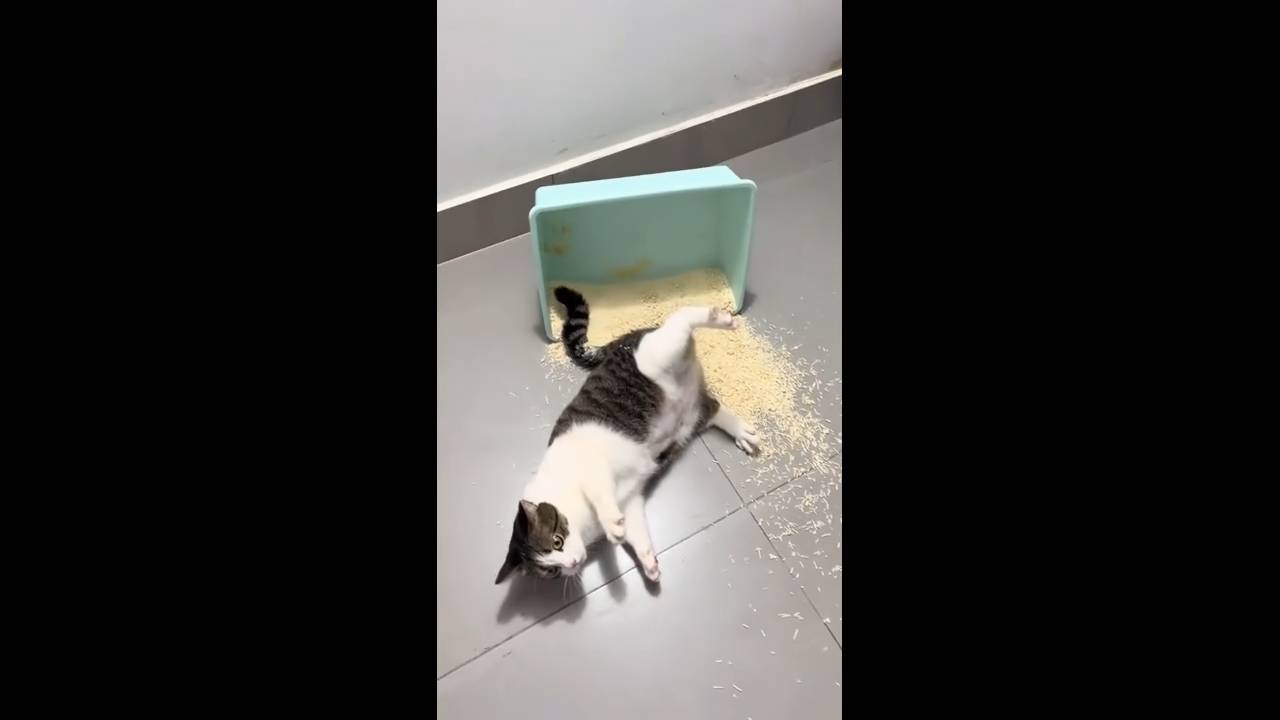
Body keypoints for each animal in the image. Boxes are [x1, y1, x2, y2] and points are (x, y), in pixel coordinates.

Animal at [495, 286, 760, 585]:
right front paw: (648, 563)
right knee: (712, 407)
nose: (572, 564)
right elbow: (636, 533)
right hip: (691, 415)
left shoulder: (590, 465)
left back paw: (720, 318)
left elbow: (600, 495)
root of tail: (621, 340)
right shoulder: (629, 501)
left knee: (681, 319)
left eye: (557, 542)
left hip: (656, 354)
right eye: (549, 570)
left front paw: (612, 526)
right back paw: (743, 433)